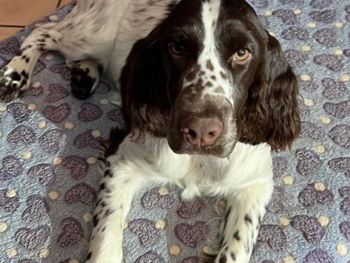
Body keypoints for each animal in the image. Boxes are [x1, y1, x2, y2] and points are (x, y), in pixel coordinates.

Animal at [0, 0, 300, 263]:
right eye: (177, 48)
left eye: (242, 53)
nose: (201, 130)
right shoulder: (121, 161)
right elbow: (106, 238)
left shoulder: (255, 184)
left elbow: (237, 248)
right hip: (92, 34)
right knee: (43, 31)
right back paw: (14, 75)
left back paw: (85, 74)